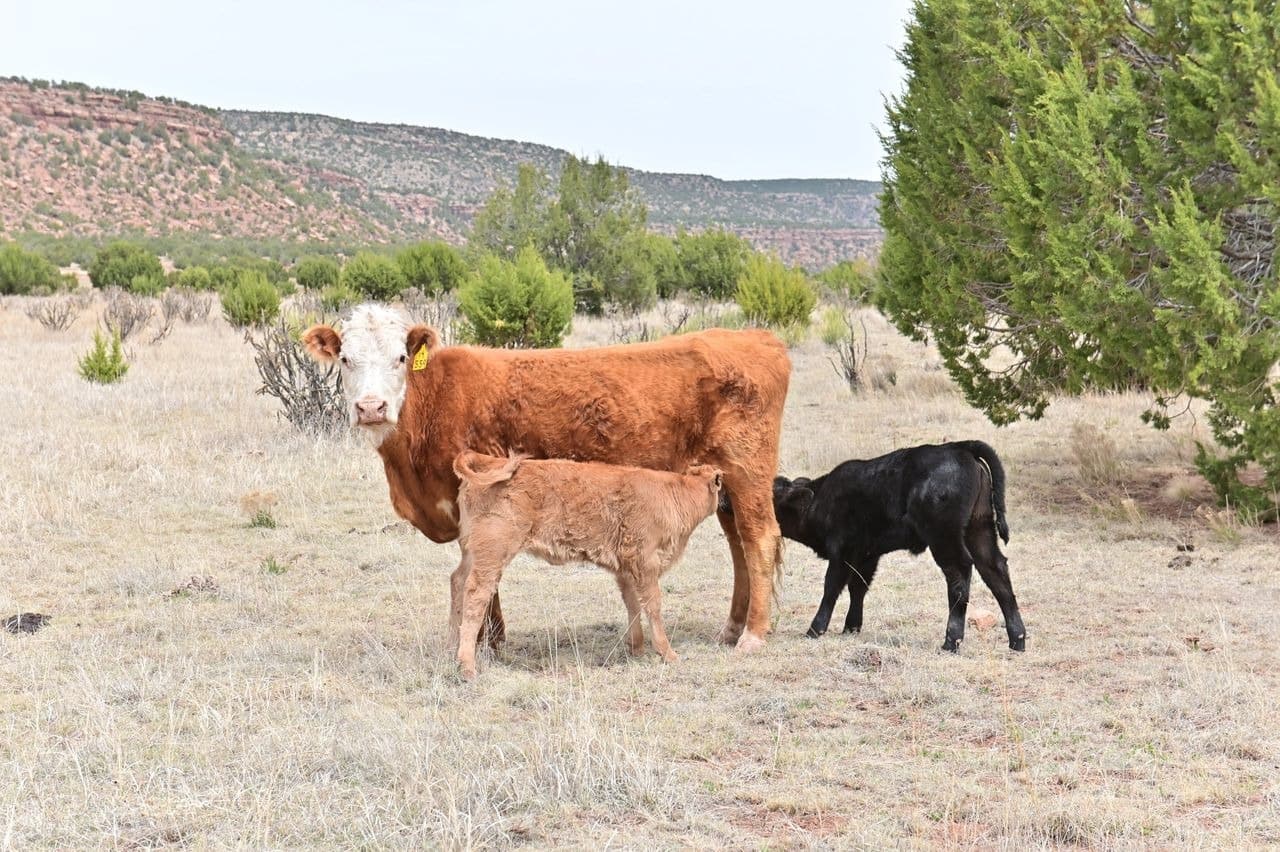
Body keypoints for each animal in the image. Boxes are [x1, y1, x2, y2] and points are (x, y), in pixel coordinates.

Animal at [307, 301, 788, 652]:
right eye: (345, 359)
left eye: (401, 357)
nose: (371, 407)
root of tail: (754, 337)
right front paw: (491, 638)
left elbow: (482, 573)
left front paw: (485, 640)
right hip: (724, 484)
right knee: (737, 544)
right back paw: (731, 628)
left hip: (748, 470)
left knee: (759, 538)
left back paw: (752, 635)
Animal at [455, 450, 727, 675]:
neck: (675, 493)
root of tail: (490, 461)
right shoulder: (645, 563)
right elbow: (653, 605)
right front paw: (667, 653)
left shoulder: (625, 570)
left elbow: (633, 605)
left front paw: (636, 648)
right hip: (493, 554)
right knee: (476, 596)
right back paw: (467, 667)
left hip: (472, 553)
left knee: (457, 582)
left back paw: (451, 647)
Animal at [727, 440, 1024, 647]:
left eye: (769, 497)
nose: (728, 501)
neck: (821, 499)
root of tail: (960, 448)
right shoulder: (867, 555)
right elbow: (858, 588)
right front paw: (851, 627)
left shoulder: (843, 552)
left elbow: (832, 588)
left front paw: (815, 629)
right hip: (980, 531)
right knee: (996, 572)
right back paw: (1017, 639)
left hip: (945, 538)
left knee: (960, 575)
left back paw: (952, 641)